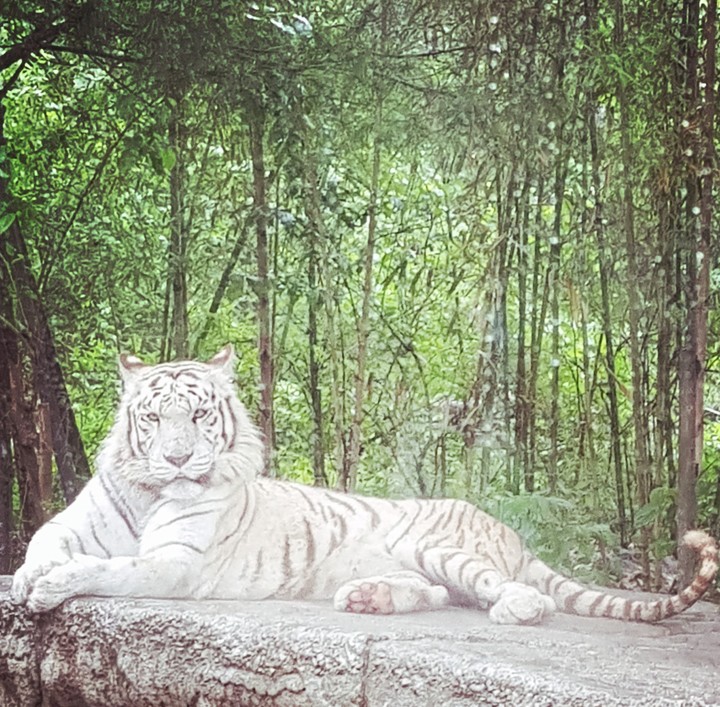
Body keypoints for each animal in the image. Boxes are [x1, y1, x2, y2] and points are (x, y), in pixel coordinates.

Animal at [11, 345, 719, 625]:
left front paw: (49, 587)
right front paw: (26, 579)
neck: (146, 490)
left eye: (201, 415)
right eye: (155, 419)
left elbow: (111, 569)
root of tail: (509, 531)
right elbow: (41, 543)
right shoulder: (68, 523)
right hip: (420, 563)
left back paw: (513, 606)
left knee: (517, 593)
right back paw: (367, 597)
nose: (180, 460)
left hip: (439, 544)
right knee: (441, 594)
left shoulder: (174, 563)